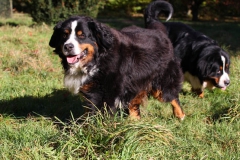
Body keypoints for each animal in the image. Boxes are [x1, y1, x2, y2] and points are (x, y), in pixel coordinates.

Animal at [48, 9, 184, 119]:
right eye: (64, 35)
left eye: (82, 35)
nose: (68, 46)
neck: (98, 59)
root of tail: (157, 31)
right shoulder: (91, 92)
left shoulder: (108, 93)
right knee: (134, 104)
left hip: (161, 83)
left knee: (172, 97)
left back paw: (180, 116)